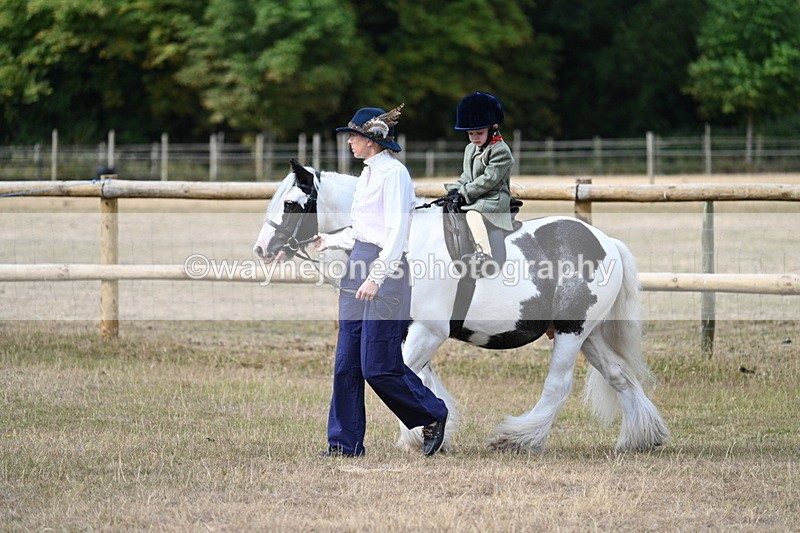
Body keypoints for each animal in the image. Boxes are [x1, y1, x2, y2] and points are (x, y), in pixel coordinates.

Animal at [253, 160, 670, 454]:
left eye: (290, 203)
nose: (261, 249)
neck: (399, 244)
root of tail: (607, 242)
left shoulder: (429, 330)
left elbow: (405, 374)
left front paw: (424, 433)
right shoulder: (410, 330)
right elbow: (416, 378)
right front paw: (431, 431)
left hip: (572, 332)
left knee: (558, 385)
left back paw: (518, 438)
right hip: (589, 335)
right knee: (619, 375)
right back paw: (642, 437)